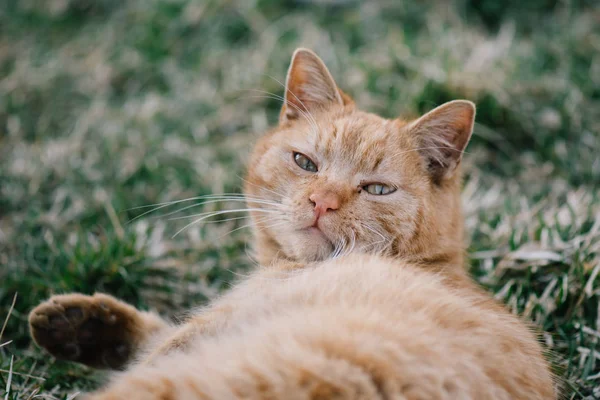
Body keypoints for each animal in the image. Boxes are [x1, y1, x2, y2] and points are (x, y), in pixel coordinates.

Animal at [27, 48, 552, 398]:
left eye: (377, 190)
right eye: (305, 162)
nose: (322, 202)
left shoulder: (209, 328)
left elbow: (156, 346)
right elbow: (146, 334)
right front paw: (80, 324)